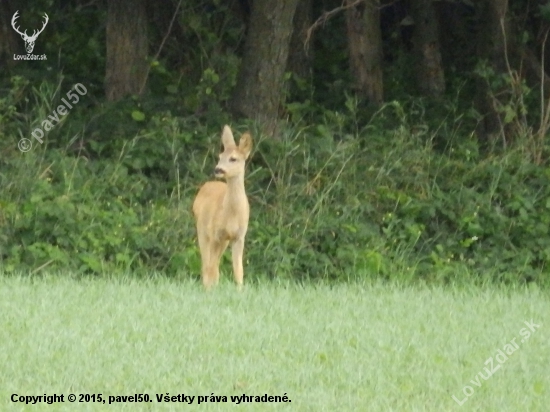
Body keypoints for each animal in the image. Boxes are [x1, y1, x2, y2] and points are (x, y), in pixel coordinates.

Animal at [193, 124, 253, 288]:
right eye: (220, 157)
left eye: (233, 158)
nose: (218, 169)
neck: (232, 214)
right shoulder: (215, 234)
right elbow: (211, 267)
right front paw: (209, 289)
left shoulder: (239, 236)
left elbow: (238, 270)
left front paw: (240, 289)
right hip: (202, 230)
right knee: (207, 264)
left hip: (224, 240)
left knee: (214, 264)